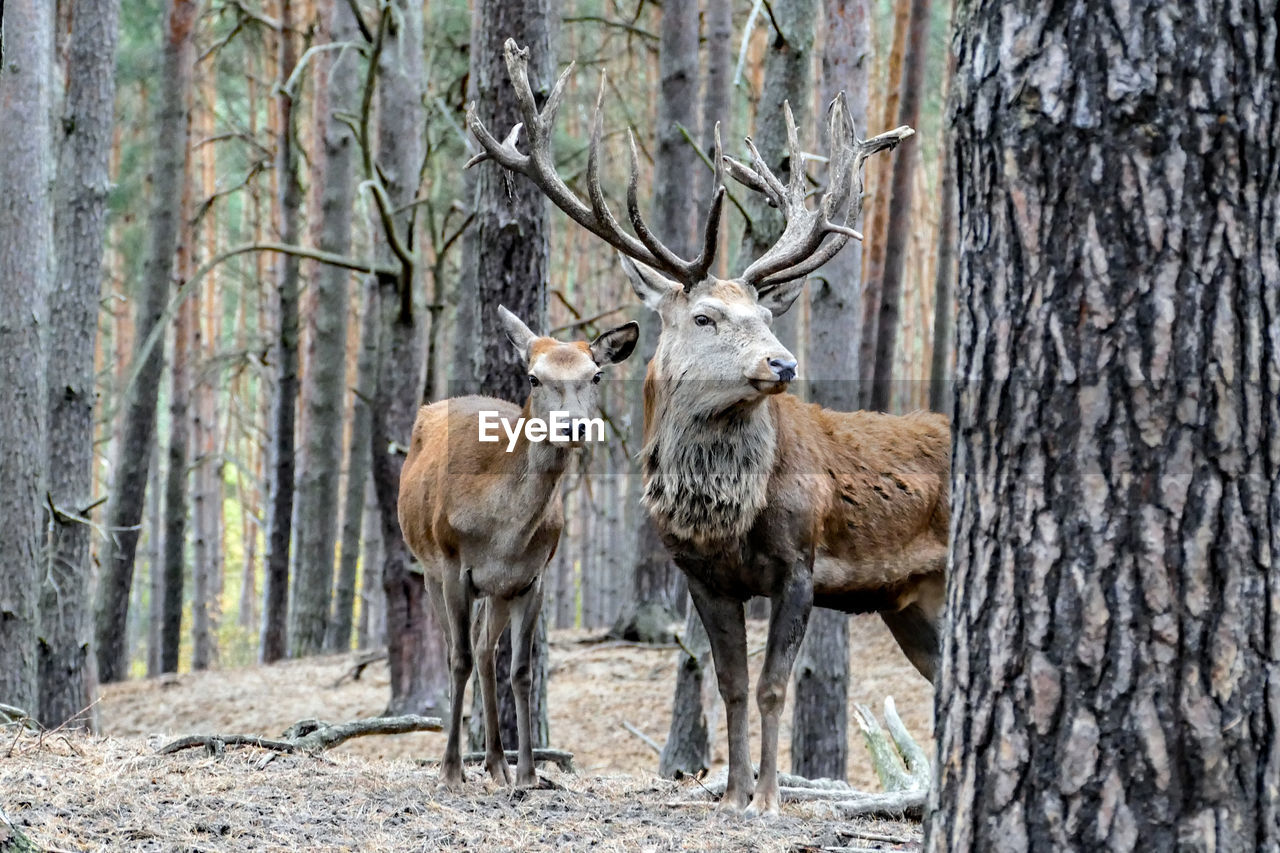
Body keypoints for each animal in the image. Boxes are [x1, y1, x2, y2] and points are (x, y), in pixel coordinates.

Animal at [396, 303, 637, 783]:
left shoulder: (531, 578)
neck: (503, 531)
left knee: (487, 652)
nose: (573, 426)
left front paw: (528, 772)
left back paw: (496, 764)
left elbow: (522, 671)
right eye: (533, 377)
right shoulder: (454, 566)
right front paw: (450, 770)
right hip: (431, 569)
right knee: (460, 651)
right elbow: (458, 660)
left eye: (596, 375)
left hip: (498, 591)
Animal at [465, 43, 947, 814]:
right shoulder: (701, 576)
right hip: (911, 602)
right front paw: (733, 792)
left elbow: (776, 685)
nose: (784, 362)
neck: (724, 512)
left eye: (768, 315)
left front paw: (770, 798)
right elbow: (732, 685)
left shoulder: (802, 560)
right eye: (704, 317)